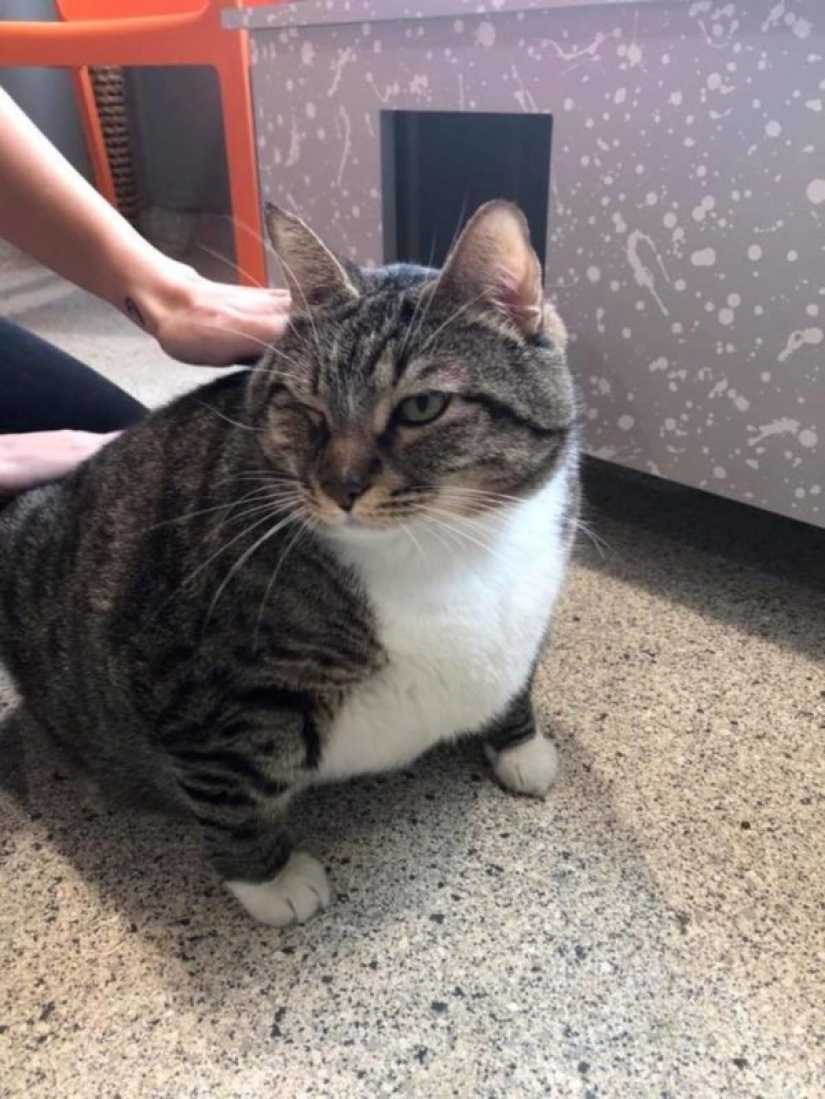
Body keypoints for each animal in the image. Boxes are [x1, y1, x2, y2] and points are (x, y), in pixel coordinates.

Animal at [0, 202, 580, 923]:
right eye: (306, 408)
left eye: (422, 406)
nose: (341, 487)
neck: (450, 544)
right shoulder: (195, 685)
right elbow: (234, 783)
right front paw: (270, 880)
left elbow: (517, 677)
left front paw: (519, 744)